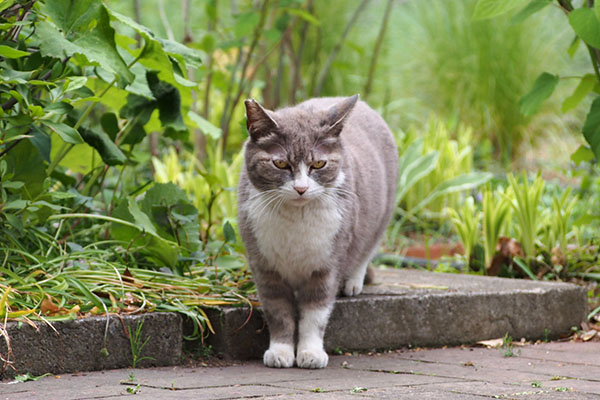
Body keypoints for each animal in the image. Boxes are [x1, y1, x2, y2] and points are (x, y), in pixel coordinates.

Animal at [236, 94, 398, 368]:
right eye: (280, 163)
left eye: (319, 164)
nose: (301, 188)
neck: (296, 221)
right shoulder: (265, 266)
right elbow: (278, 311)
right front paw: (280, 351)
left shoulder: (327, 264)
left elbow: (315, 312)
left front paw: (310, 353)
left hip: (382, 213)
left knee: (367, 248)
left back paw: (353, 282)